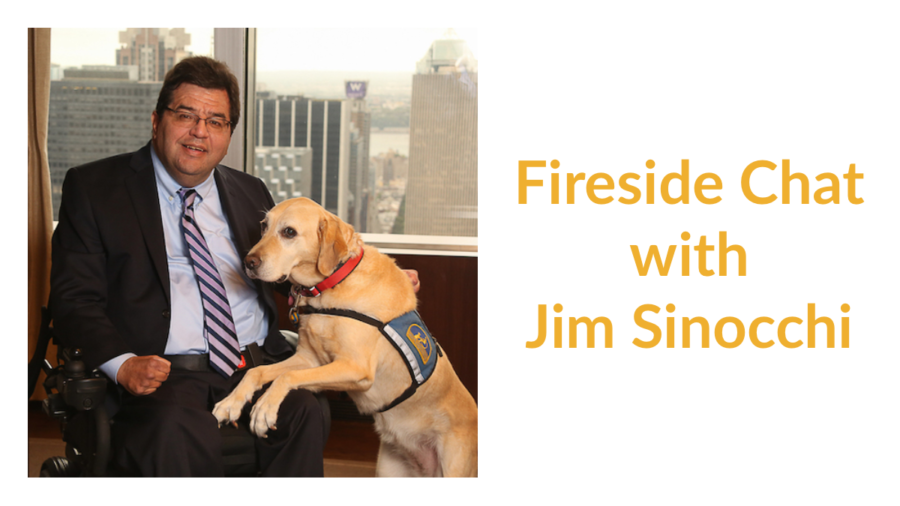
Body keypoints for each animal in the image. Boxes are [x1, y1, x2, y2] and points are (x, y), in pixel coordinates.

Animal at [213, 196, 478, 476]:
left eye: (289, 232)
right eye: (264, 226)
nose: (248, 262)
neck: (332, 283)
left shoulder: (354, 368)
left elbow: (287, 377)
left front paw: (264, 409)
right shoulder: (309, 360)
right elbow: (258, 371)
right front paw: (231, 403)